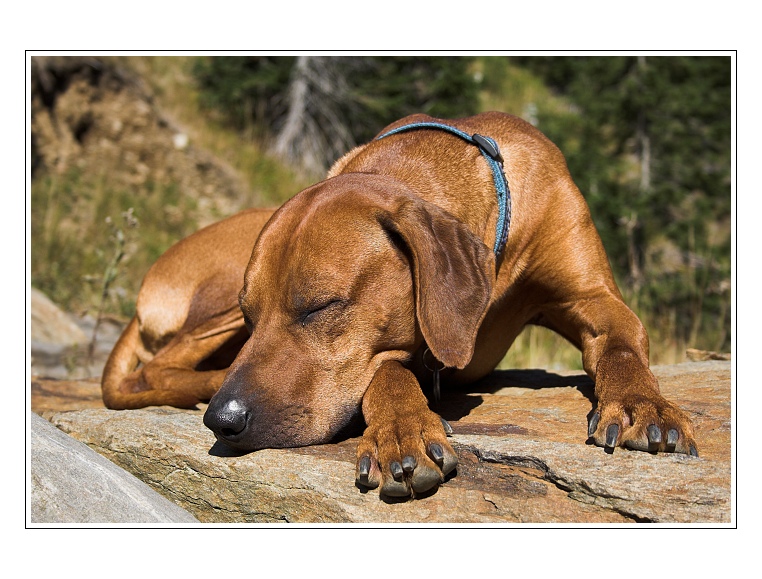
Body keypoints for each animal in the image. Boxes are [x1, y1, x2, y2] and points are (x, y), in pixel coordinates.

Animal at [103, 112, 698, 498]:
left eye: (319, 307)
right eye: (253, 318)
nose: (222, 422)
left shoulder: (592, 297)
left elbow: (621, 342)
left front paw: (642, 404)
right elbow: (385, 369)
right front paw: (403, 429)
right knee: (153, 370)